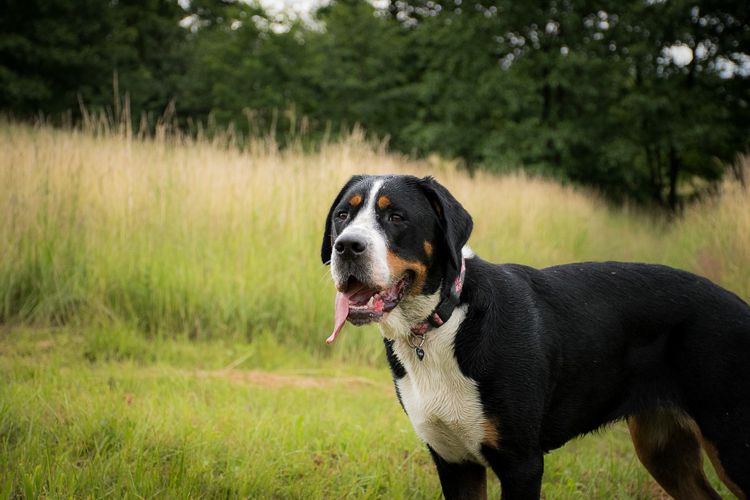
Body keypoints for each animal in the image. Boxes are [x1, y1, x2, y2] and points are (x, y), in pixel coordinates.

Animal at [324, 174, 750, 498]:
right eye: (343, 215)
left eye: (396, 216)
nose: (347, 246)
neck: (442, 325)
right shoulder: (454, 460)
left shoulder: (521, 463)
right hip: (662, 447)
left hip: (731, 440)